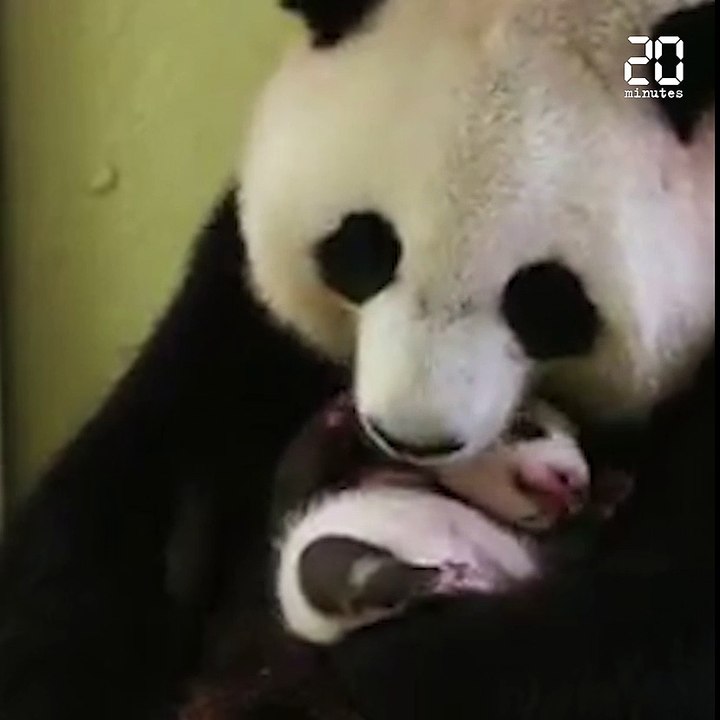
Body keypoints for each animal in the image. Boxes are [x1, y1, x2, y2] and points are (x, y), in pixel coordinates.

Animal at [0, 1, 714, 720]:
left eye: (543, 298)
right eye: (365, 248)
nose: (412, 440)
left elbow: (643, 629)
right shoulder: (247, 320)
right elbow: (135, 486)